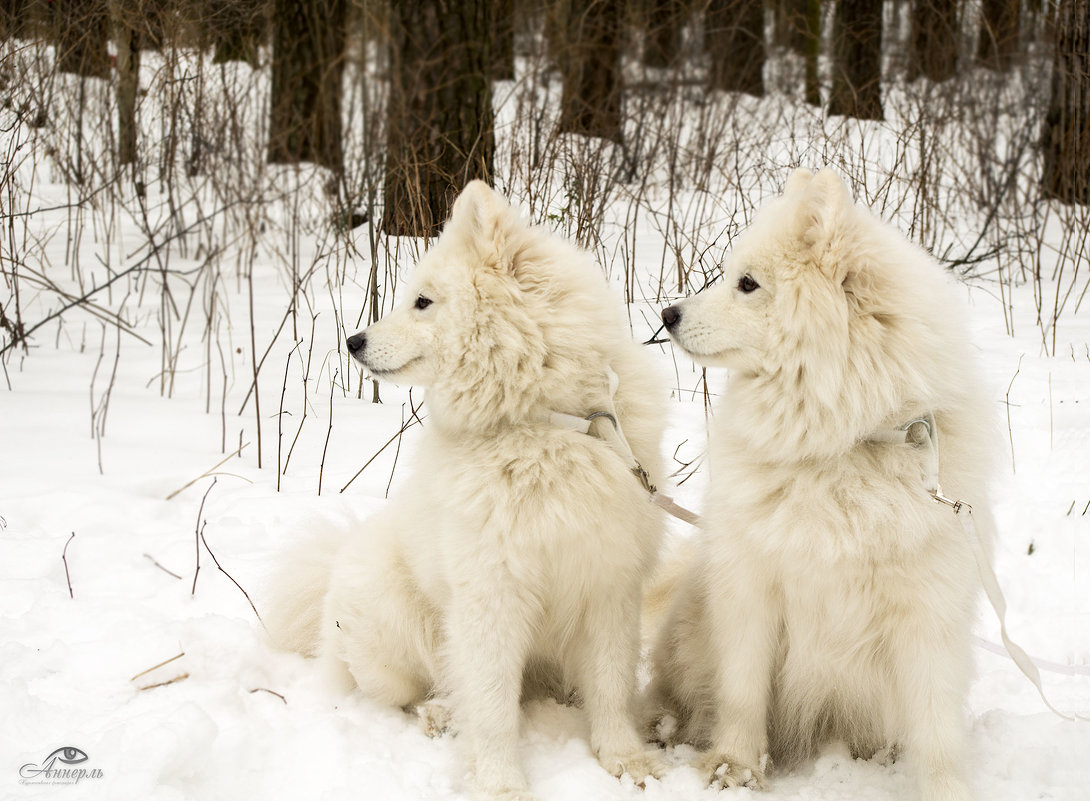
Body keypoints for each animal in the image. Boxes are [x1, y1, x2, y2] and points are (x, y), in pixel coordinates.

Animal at [268, 181, 667, 801]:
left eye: (422, 302)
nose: (353, 340)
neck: (547, 425)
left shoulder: (609, 584)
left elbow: (611, 685)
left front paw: (625, 759)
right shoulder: (490, 596)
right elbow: (494, 707)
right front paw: (502, 783)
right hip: (394, 637)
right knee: (421, 692)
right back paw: (440, 714)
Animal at [645, 167, 998, 801]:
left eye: (747, 284)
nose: (667, 314)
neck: (843, 444)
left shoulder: (927, 610)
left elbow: (936, 726)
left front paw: (944, 789)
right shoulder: (752, 587)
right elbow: (742, 692)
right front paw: (734, 767)